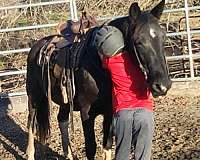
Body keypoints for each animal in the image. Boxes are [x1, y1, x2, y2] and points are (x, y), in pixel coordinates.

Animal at [25, 0, 171, 159]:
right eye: (139, 41)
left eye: (163, 37)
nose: (163, 85)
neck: (98, 66)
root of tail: (36, 47)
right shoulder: (86, 112)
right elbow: (91, 147)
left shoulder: (109, 112)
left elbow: (107, 144)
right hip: (34, 97)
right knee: (31, 124)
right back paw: (30, 153)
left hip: (64, 101)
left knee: (62, 120)